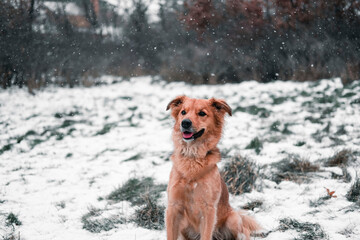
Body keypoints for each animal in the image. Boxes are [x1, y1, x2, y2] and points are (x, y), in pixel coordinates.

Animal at [165, 96, 260, 240]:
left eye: (202, 113)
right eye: (183, 112)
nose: (185, 123)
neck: (193, 157)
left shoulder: (208, 210)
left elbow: (205, 235)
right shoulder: (173, 207)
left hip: (233, 219)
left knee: (244, 231)